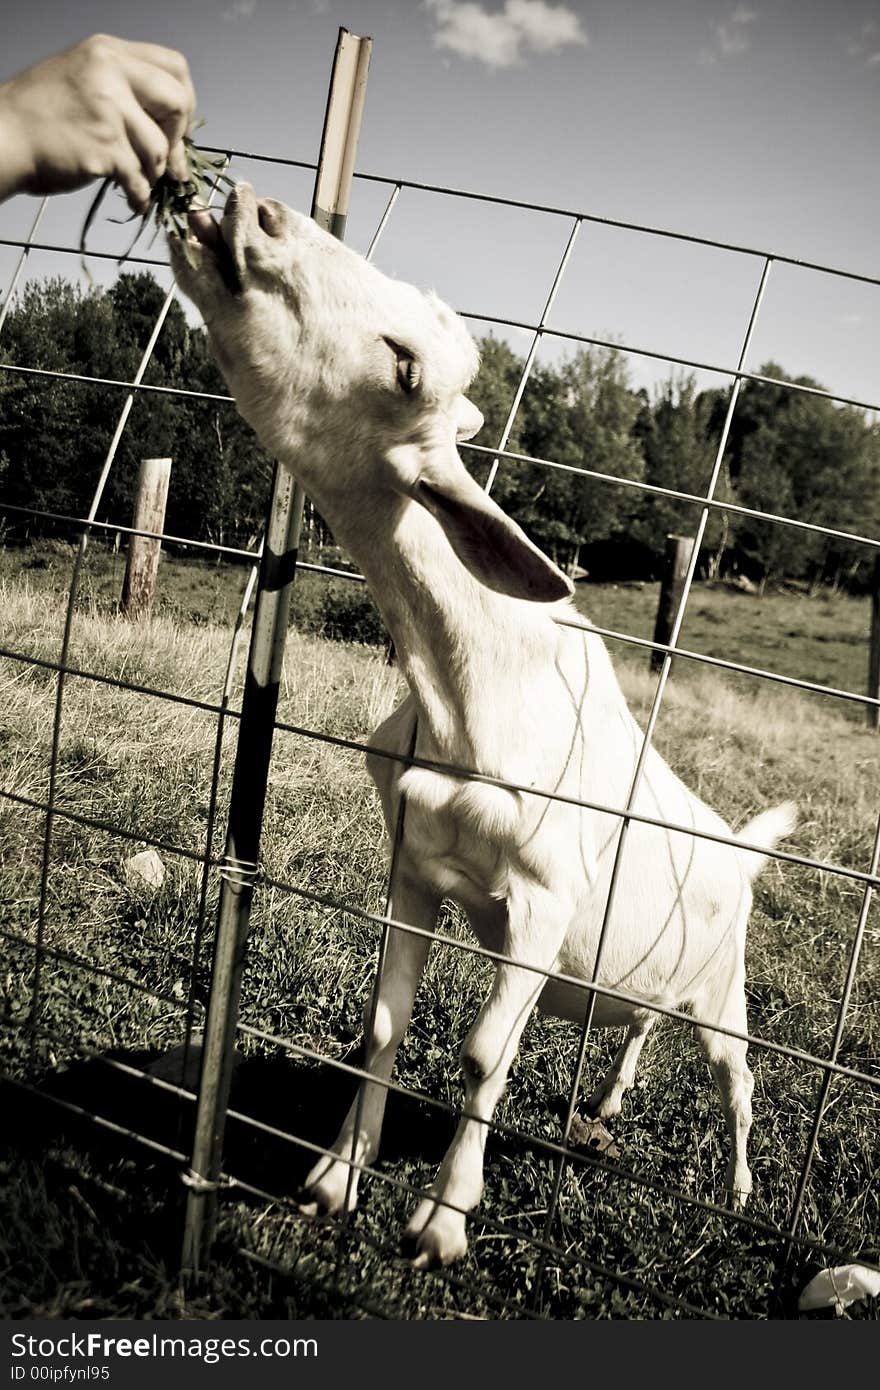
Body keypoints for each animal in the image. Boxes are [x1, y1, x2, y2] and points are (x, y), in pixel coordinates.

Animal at [173, 187, 795, 1273]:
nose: (258, 211)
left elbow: (479, 1052)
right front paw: (335, 1177)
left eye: (404, 366)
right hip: (663, 980)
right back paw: (607, 1106)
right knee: (639, 1026)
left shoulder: (544, 904)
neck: (472, 695)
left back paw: (740, 1190)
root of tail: (739, 849)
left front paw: (442, 1219)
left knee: (738, 1083)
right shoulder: (414, 867)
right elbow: (384, 1025)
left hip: (728, 989)